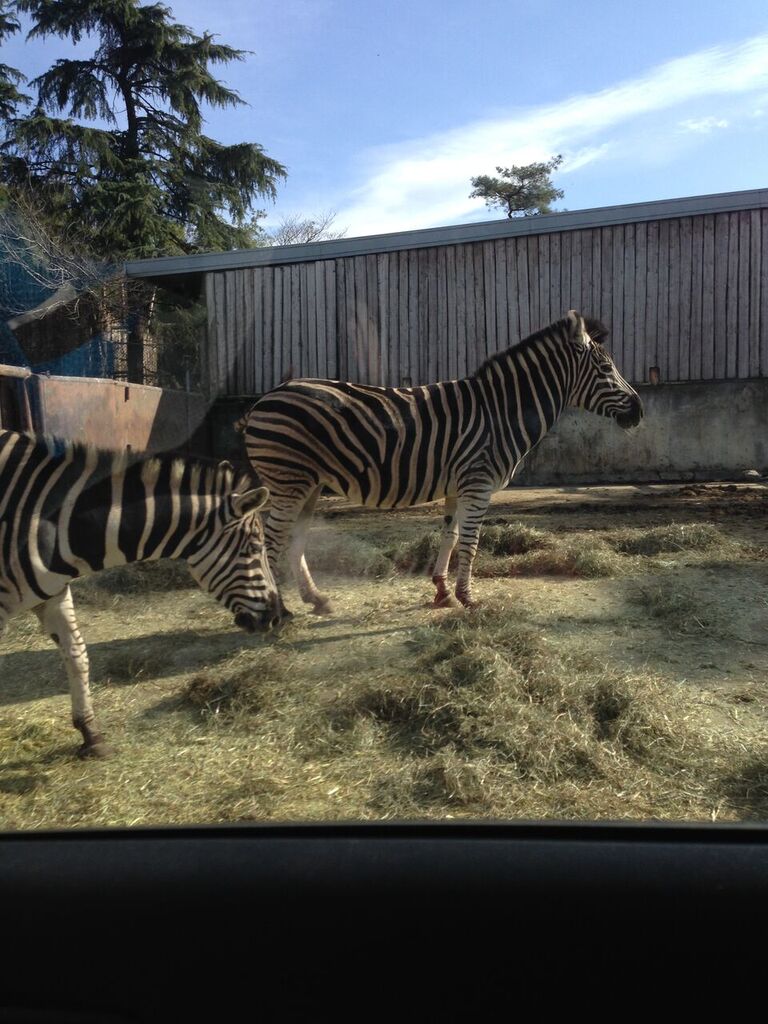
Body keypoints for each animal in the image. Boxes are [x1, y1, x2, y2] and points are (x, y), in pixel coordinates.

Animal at [0, 428, 286, 757]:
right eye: (254, 548)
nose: (276, 618)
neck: (53, 520)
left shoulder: (53, 593)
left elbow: (77, 655)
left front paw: (91, 734)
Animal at [239, 309, 643, 614]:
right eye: (606, 370)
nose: (639, 412)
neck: (501, 412)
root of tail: (269, 395)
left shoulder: (457, 485)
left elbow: (450, 535)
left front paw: (442, 591)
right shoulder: (478, 483)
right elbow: (471, 542)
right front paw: (468, 598)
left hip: (307, 483)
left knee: (295, 537)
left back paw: (316, 599)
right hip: (288, 481)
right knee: (271, 539)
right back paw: (278, 610)